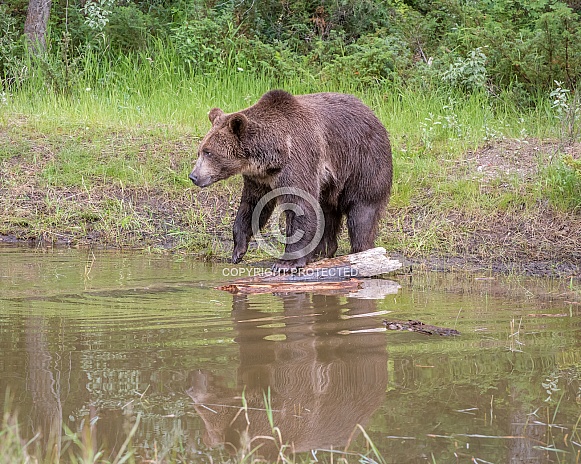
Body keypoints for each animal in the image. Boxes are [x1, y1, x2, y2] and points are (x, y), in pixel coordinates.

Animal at [188, 89, 392, 272]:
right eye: (200, 150)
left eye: (208, 152)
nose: (193, 176)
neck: (273, 156)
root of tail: (373, 114)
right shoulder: (259, 179)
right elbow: (252, 206)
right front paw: (238, 250)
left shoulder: (299, 161)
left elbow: (300, 206)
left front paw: (286, 263)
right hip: (331, 184)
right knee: (327, 212)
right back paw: (320, 252)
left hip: (363, 162)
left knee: (362, 211)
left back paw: (361, 252)